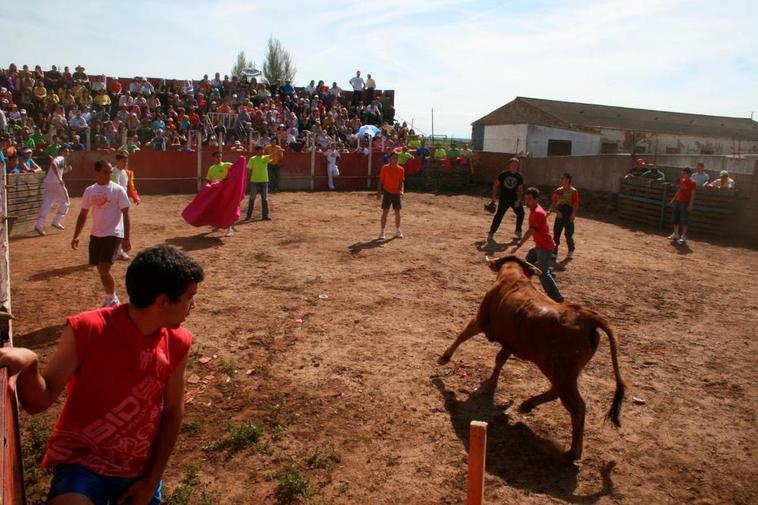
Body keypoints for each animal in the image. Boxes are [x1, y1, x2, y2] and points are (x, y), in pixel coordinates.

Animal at [440, 254, 624, 458]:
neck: (513, 276)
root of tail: (587, 317)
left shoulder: (480, 320)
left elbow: (463, 335)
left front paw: (444, 358)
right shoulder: (510, 343)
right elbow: (500, 360)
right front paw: (491, 383)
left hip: (560, 373)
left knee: (577, 407)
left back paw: (574, 451)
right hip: (563, 374)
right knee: (556, 392)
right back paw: (527, 404)